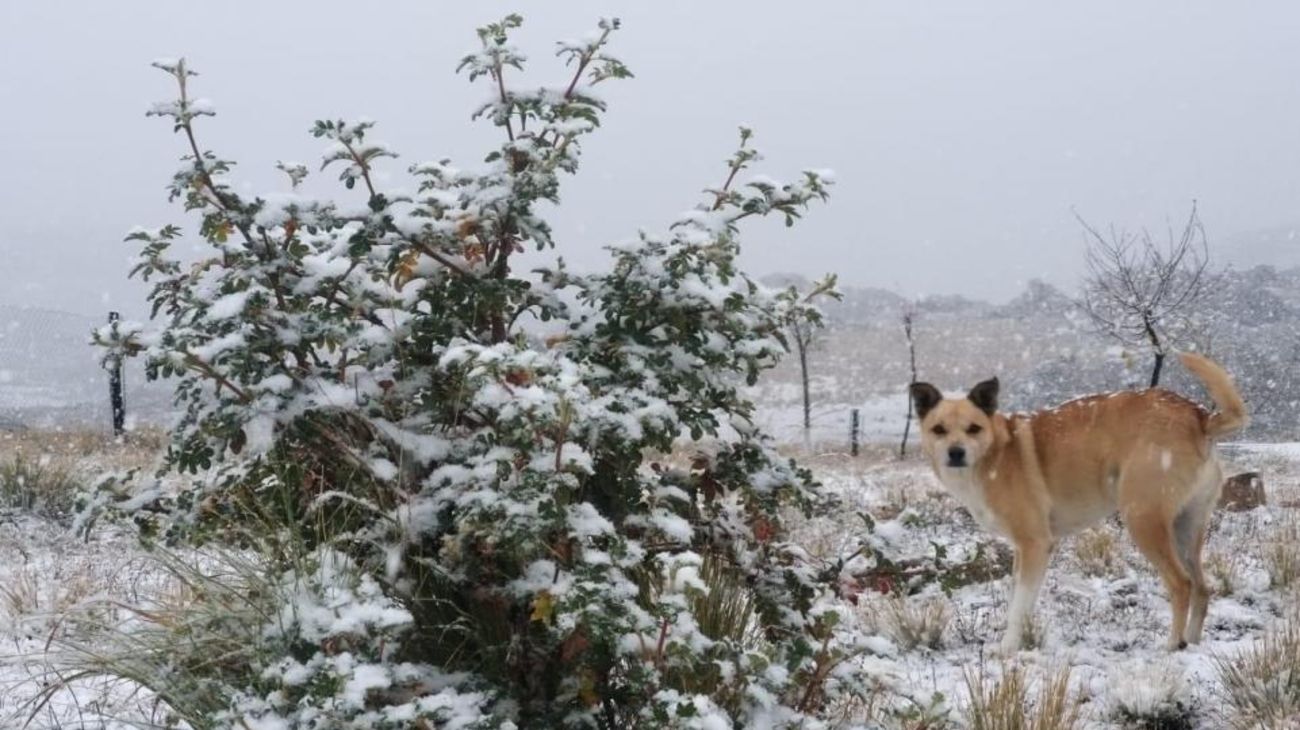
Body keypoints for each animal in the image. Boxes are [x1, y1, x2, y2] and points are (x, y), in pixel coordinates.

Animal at [909, 350, 1242, 646]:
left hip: (1143, 519)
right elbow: (1020, 601)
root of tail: (1199, 416)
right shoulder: (1024, 553)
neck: (994, 454)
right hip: (1186, 526)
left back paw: (1174, 644)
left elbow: (1018, 608)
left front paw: (1006, 651)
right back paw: (1193, 641)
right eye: (938, 429)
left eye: (973, 429)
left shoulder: (1035, 544)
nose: (955, 453)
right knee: (1202, 588)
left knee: (1182, 584)